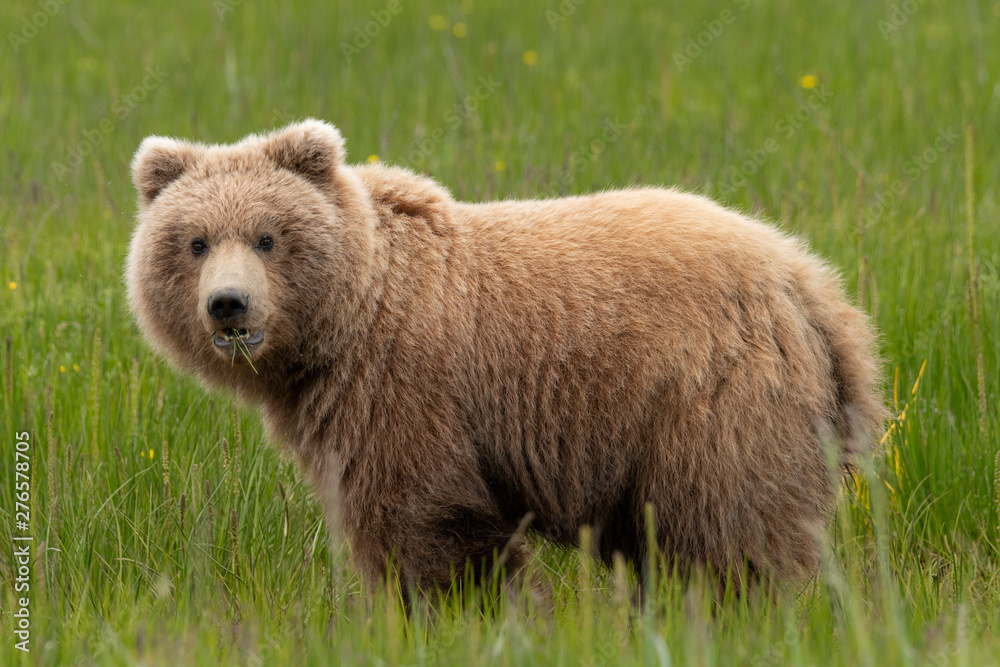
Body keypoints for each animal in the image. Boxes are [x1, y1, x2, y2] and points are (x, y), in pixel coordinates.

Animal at [126, 119, 884, 596]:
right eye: (195, 241)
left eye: (267, 236)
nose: (228, 305)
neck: (344, 326)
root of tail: (813, 285)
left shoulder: (404, 389)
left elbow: (425, 519)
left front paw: (452, 608)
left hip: (707, 397)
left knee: (729, 527)